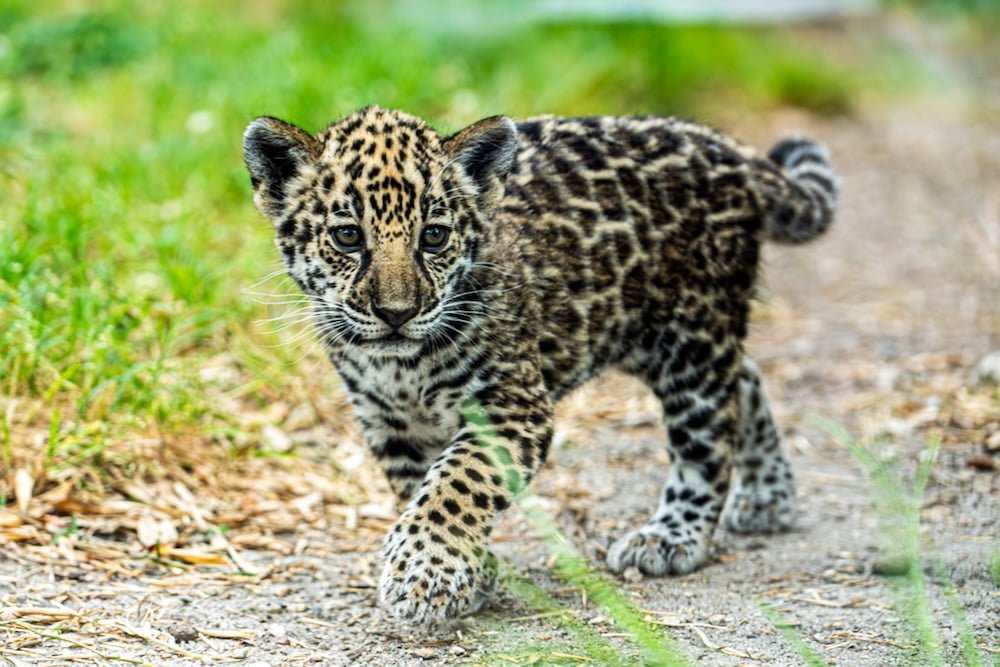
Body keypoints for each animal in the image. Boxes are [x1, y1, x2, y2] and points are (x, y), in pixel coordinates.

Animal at [242, 104, 837, 627]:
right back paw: (767, 496)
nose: (397, 313)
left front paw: (427, 572)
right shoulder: (392, 424)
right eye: (347, 236)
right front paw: (471, 573)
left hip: (692, 339)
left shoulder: (513, 405)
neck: (401, 366)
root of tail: (724, 145)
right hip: (652, 337)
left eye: (433, 235)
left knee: (707, 442)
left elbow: (458, 483)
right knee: (745, 379)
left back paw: (671, 536)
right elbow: (419, 488)